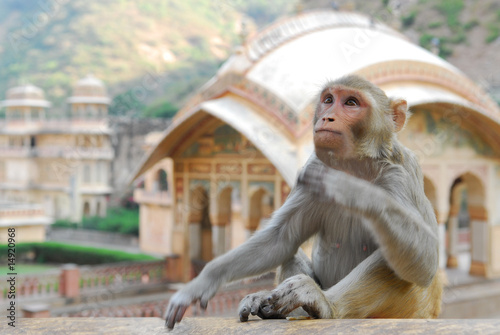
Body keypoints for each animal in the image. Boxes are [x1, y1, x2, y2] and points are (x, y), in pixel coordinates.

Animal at [166, 75, 444, 330]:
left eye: (351, 103)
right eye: (329, 100)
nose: (327, 117)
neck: (357, 165)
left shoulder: (400, 174)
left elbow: (426, 260)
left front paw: (351, 189)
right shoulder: (312, 169)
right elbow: (280, 238)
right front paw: (203, 282)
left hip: (414, 309)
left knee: (394, 262)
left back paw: (324, 305)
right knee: (290, 253)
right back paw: (280, 308)